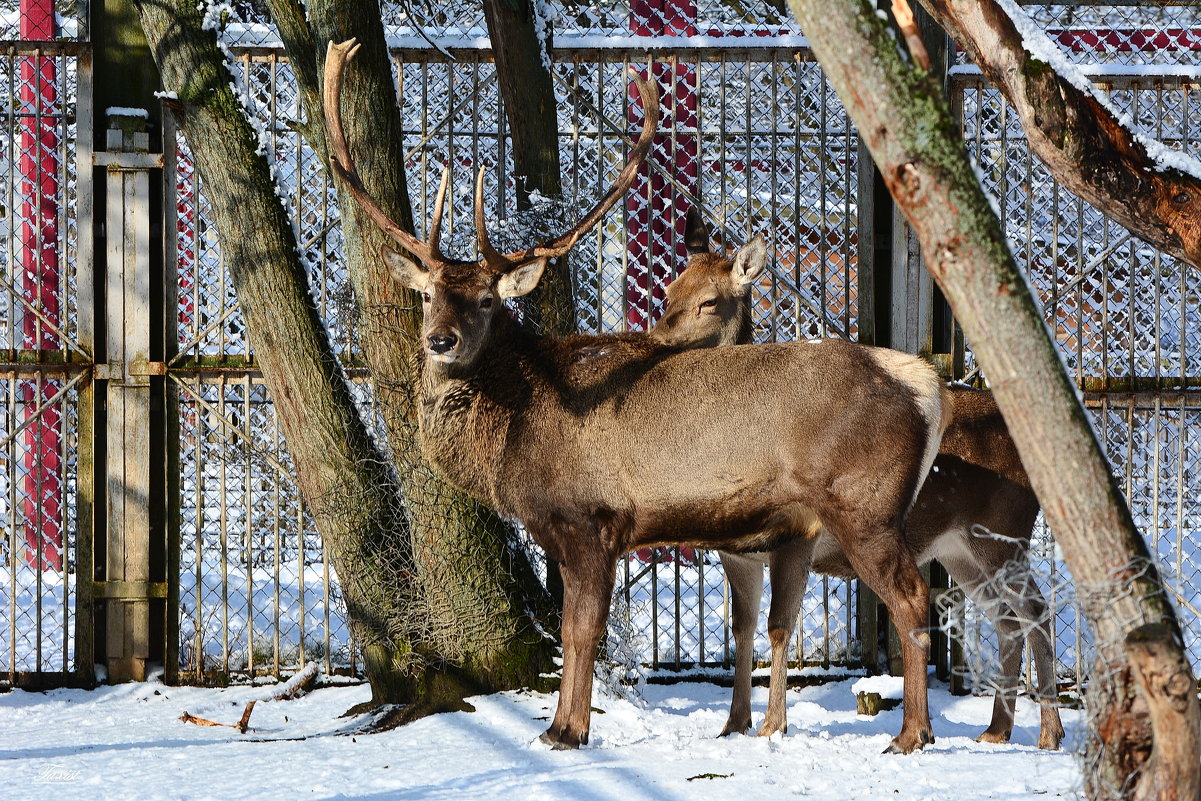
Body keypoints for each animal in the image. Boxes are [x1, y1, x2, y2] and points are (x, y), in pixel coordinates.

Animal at [324, 39, 951, 754]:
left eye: (486, 300)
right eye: (428, 293)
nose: (440, 341)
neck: (511, 440)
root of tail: (930, 389)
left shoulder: (589, 518)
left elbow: (580, 632)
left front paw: (565, 729)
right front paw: (562, 725)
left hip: (863, 504)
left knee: (913, 598)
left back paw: (912, 735)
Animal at [653, 208, 1066, 754]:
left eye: (708, 301)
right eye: (668, 291)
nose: (657, 343)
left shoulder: (797, 538)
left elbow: (779, 628)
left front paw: (771, 724)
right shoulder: (737, 553)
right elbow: (741, 632)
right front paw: (733, 723)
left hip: (997, 532)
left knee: (1026, 610)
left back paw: (1004, 733)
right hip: (961, 550)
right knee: (1007, 619)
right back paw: (997, 730)